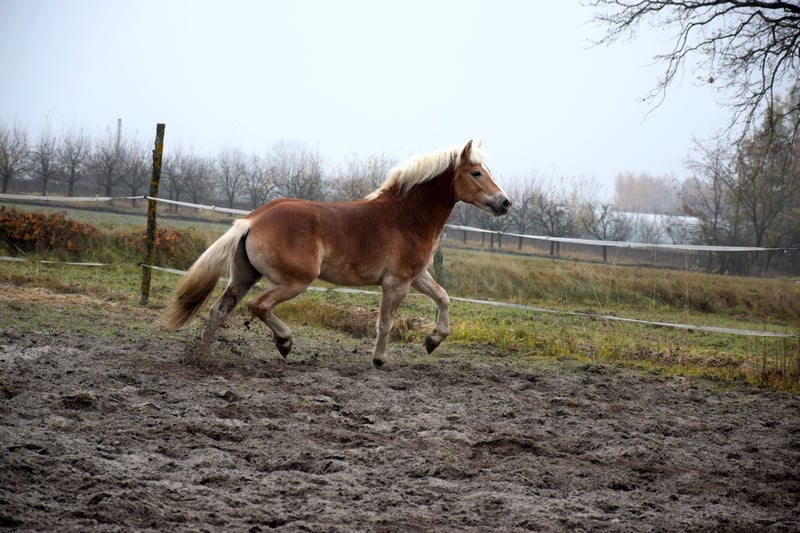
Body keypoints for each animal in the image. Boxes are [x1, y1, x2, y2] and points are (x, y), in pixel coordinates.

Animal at [163, 139, 511, 367]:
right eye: (476, 173)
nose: (505, 203)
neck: (406, 216)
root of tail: (252, 220)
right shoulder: (396, 283)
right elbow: (385, 323)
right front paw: (380, 360)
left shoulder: (416, 276)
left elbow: (443, 297)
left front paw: (433, 341)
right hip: (294, 281)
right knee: (258, 305)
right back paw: (285, 342)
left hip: (245, 276)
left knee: (219, 310)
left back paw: (199, 359)